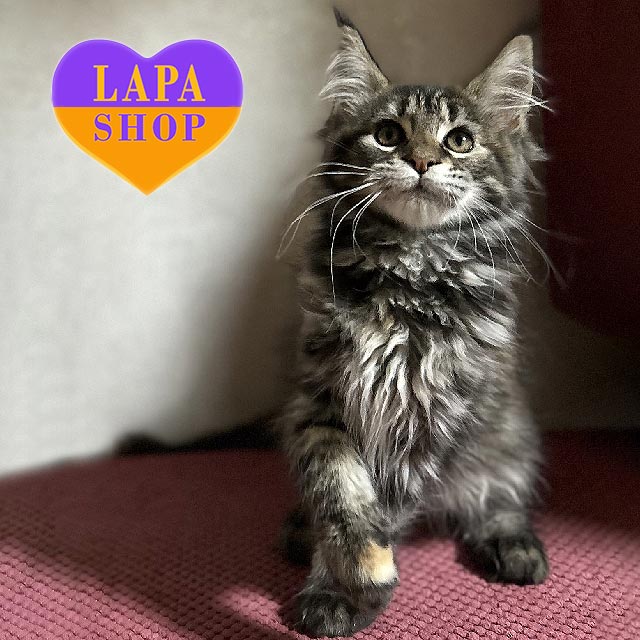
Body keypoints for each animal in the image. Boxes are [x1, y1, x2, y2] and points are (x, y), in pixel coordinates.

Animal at [278, 10, 548, 638]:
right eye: (388, 134)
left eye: (459, 140)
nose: (423, 160)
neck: (407, 272)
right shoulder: (321, 399)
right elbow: (338, 490)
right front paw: (352, 569)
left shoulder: (435, 418)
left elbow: (389, 499)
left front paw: (347, 592)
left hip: (506, 437)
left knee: (496, 500)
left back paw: (515, 547)